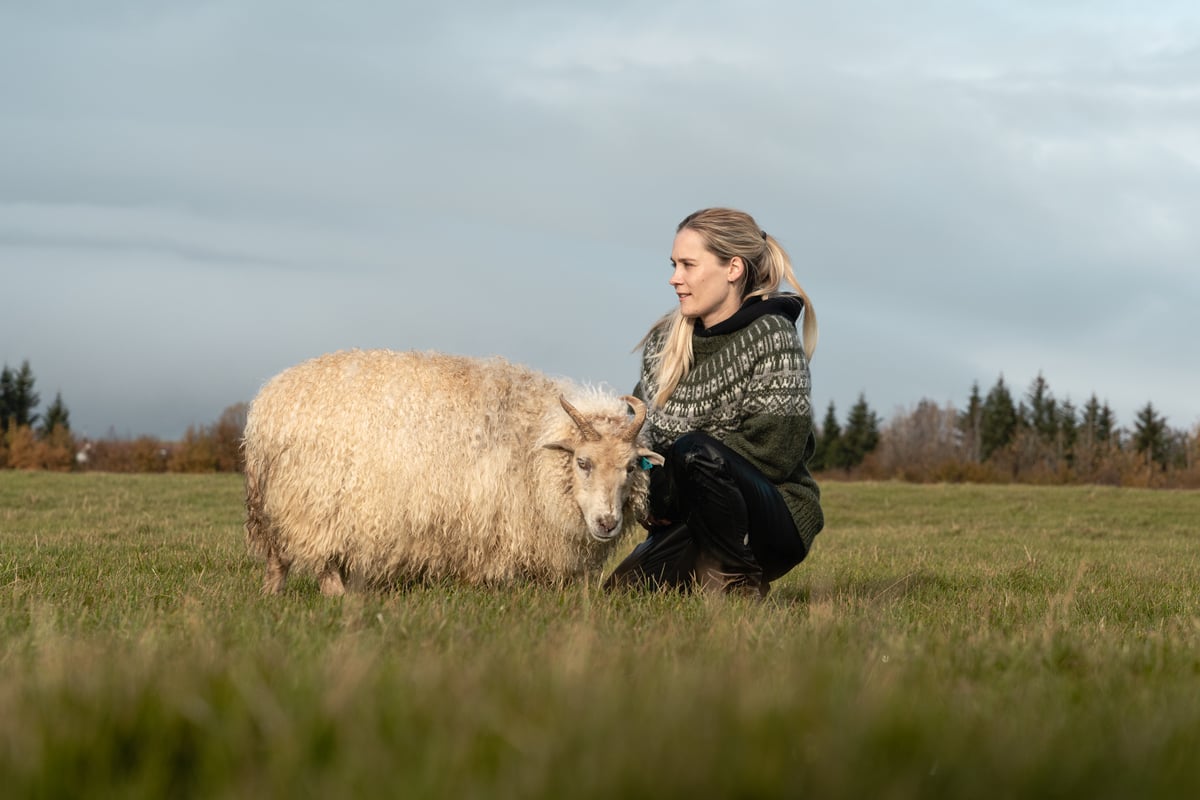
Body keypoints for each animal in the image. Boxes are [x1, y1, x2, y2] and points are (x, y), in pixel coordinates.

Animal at [243, 349, 664, 595]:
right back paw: (339, 598)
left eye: (631, 466)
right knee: (321, 559)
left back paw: (272, 595)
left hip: (276, 502)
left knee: (278, 558)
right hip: (314, 502)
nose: (607, 522)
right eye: (582, 462)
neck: (532, 442)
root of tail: (269, 400)